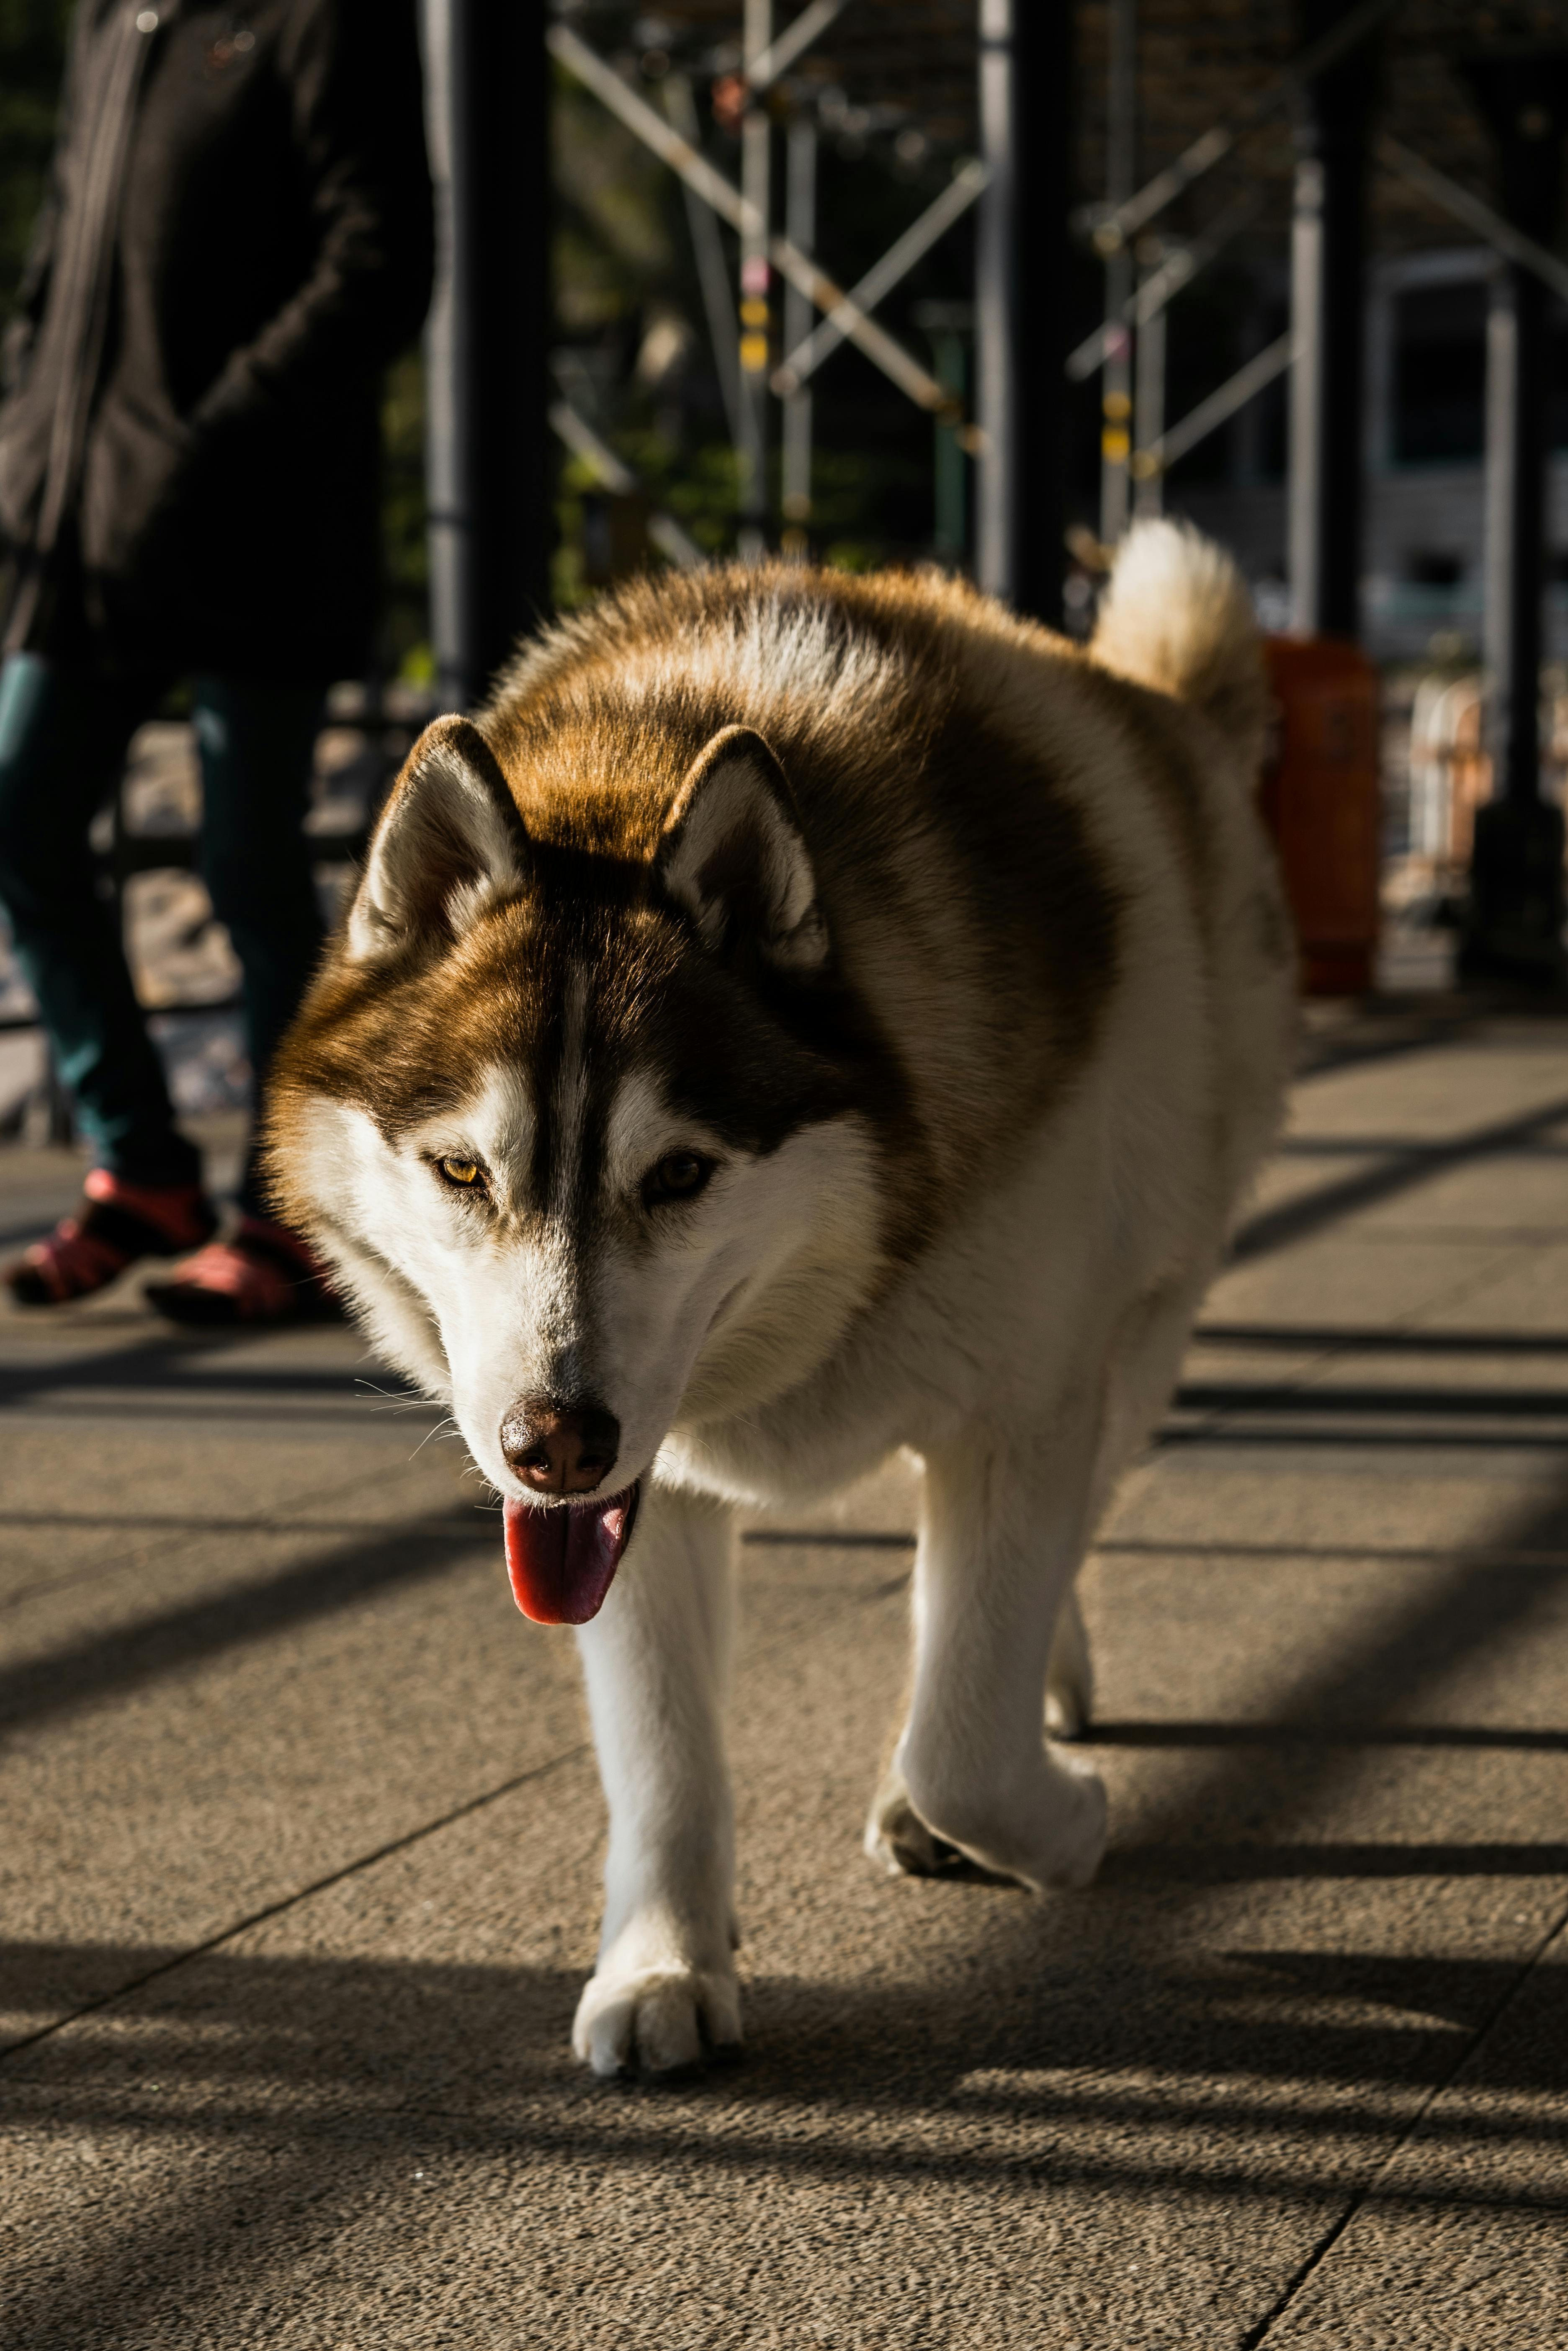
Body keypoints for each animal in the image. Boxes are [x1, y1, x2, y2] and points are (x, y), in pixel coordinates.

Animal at [273, 519, 1298, 2078]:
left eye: (680, 1172)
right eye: (461, 1168)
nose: (549, 1442)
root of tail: (1163, 708)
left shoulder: (1023, 1404)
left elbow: (965, 1734)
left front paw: (1055, 1823)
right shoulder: (638, 1495)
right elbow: (664, 1756)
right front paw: (664, 1963)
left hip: (1142, 1313)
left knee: (1041, 1549)